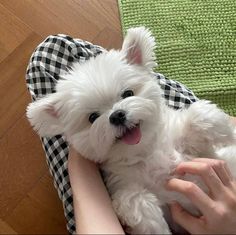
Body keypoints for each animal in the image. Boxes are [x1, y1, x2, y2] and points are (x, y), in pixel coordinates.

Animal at [26, 27, 236, 233]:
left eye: (128, 93)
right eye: (92, 117)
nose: (117, 115)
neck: (145, 152)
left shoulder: (196, 147)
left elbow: (201, 116)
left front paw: (229, 133)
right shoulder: (125, 185)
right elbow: (133, 201)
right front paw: (157, 226)